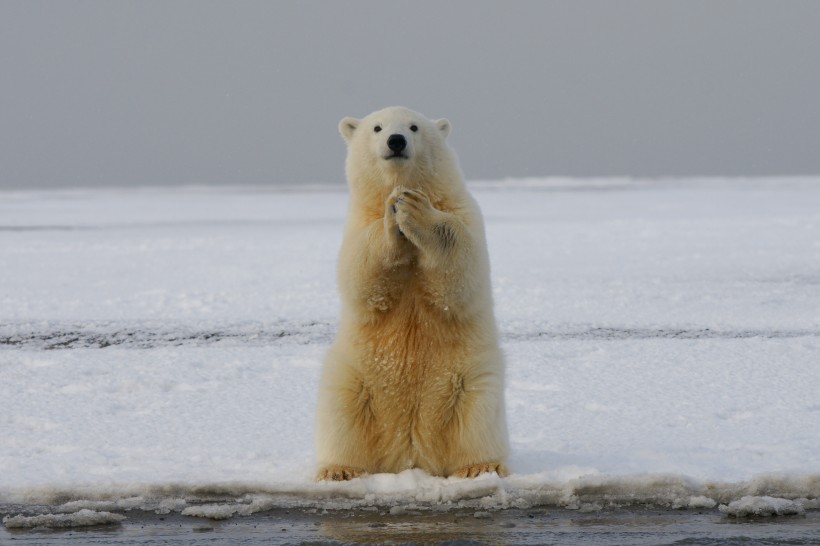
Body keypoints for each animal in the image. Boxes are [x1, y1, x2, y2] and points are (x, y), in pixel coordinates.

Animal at [318, 104, 510, 478]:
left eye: (414, 127)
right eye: (377, 127)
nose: (396, 140)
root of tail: (410, 453)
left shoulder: (464, 212)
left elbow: (461, 271)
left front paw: (414, 209)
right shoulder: (356, 224)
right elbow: (361, 275)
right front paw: (393, 217)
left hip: (469, 380)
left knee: (478, 418)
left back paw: (479, 467)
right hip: (355, 379)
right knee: (342, 414)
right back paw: (340, 470)